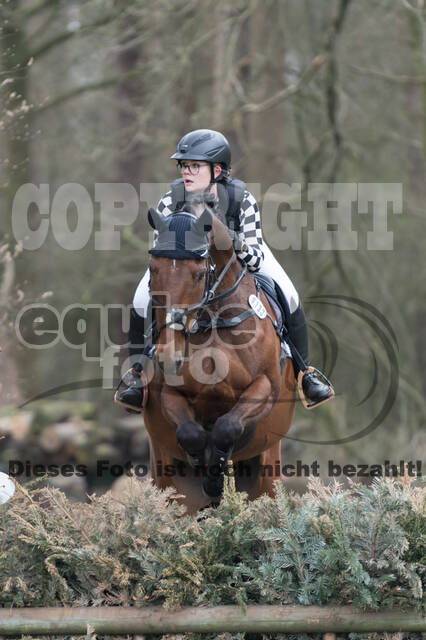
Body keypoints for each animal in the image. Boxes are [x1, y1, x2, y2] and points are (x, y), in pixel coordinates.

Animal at [141, 205, 294, 516]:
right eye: (153, 269)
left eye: (200, 274)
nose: (169, 355)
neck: (212, 321)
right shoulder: (169, 392)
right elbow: (192, 433)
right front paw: (205, 469)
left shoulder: (265, 386)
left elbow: (227, 427)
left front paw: (215, 476)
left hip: (268, 473)